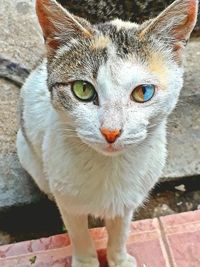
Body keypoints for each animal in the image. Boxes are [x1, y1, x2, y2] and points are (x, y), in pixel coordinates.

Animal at [16, 0, 198, 267]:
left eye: (143, 92)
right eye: (82, 89)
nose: (110, 132)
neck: (109, 168)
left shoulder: (129, 200)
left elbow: (120, 231)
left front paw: (118, 258)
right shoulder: (69, 202)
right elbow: (79, 233)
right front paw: (86, 261)